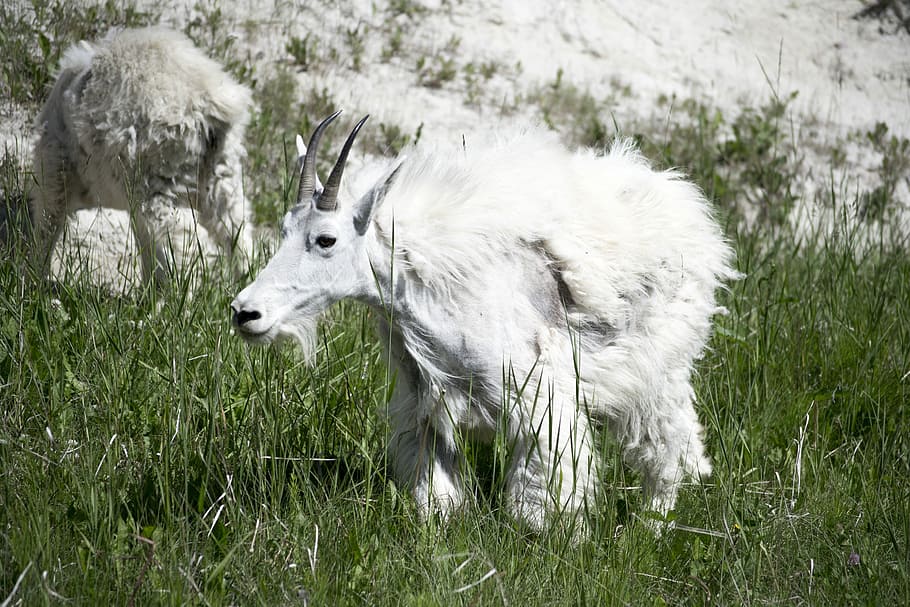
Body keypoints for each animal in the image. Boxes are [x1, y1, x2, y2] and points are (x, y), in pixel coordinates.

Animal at [30, 26, 253, 284]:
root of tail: (210, 101)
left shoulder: (54, 163)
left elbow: (48, 220)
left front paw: (34, 278)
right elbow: (145, 243)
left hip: (158, 175)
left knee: (177, 240)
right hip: (222, 172)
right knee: (237, 232)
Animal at [231, 112, 737, 530]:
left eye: (326, 239)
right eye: (283, 230)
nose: (245, 312)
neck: (423, 286)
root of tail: (689, 210)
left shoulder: (539, 398)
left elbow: (538, 496)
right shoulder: (425, 405)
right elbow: (434, 488)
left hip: (658, 368)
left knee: (670, 442)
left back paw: (653, 523)